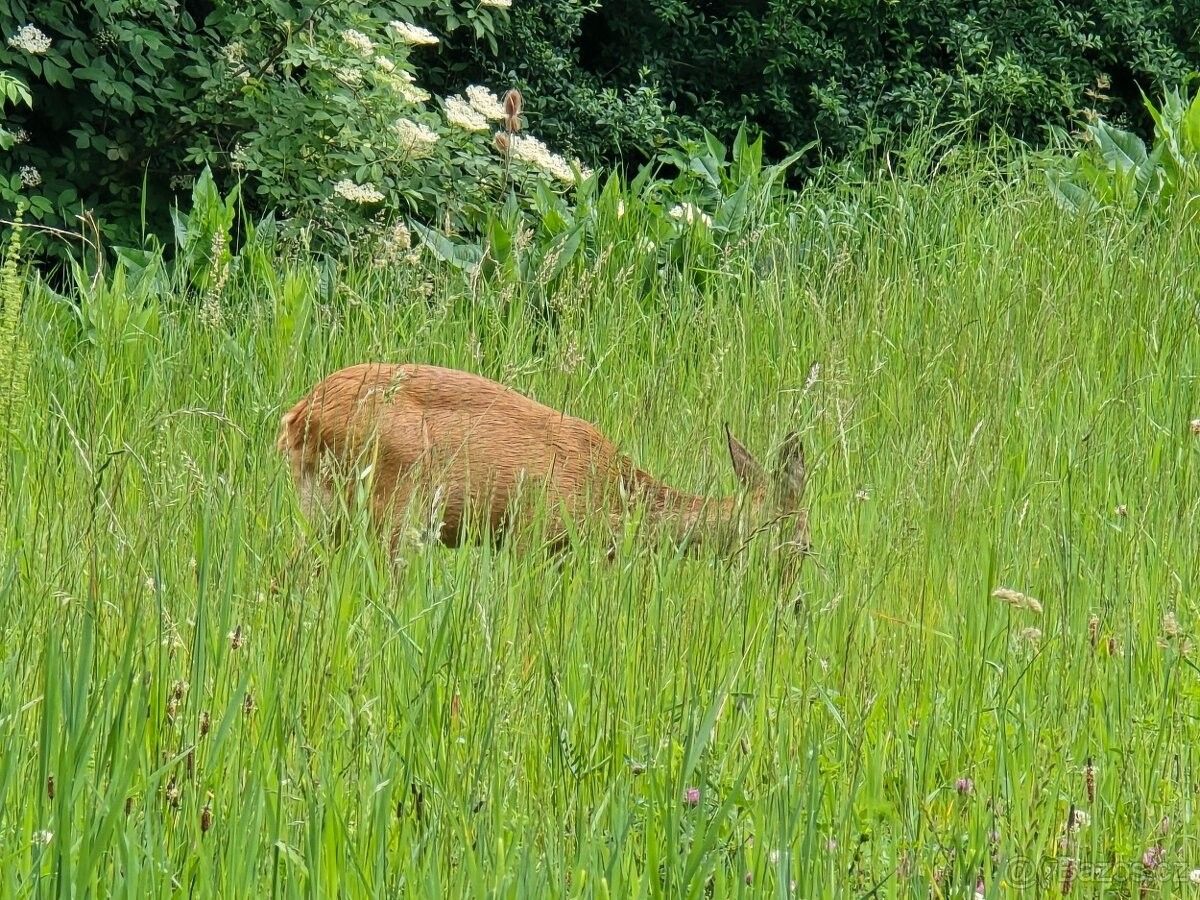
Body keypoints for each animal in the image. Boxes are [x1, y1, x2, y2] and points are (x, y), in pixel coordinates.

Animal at [276, 362, 811, 561]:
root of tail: (298, 417)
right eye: (804, 542)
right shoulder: (537, 537)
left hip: (326, 514)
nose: (799, 605)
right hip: (392, 510)